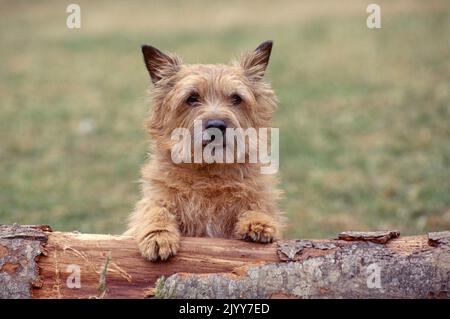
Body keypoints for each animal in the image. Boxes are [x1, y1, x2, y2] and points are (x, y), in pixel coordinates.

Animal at [125, 41, 284, 262]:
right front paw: (158, 236)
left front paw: (259, 222)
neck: (210, 172)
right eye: (192, 98)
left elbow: (257, 205)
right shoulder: (156, 198)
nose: (216, 125)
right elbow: (155, 209)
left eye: (236, 98)